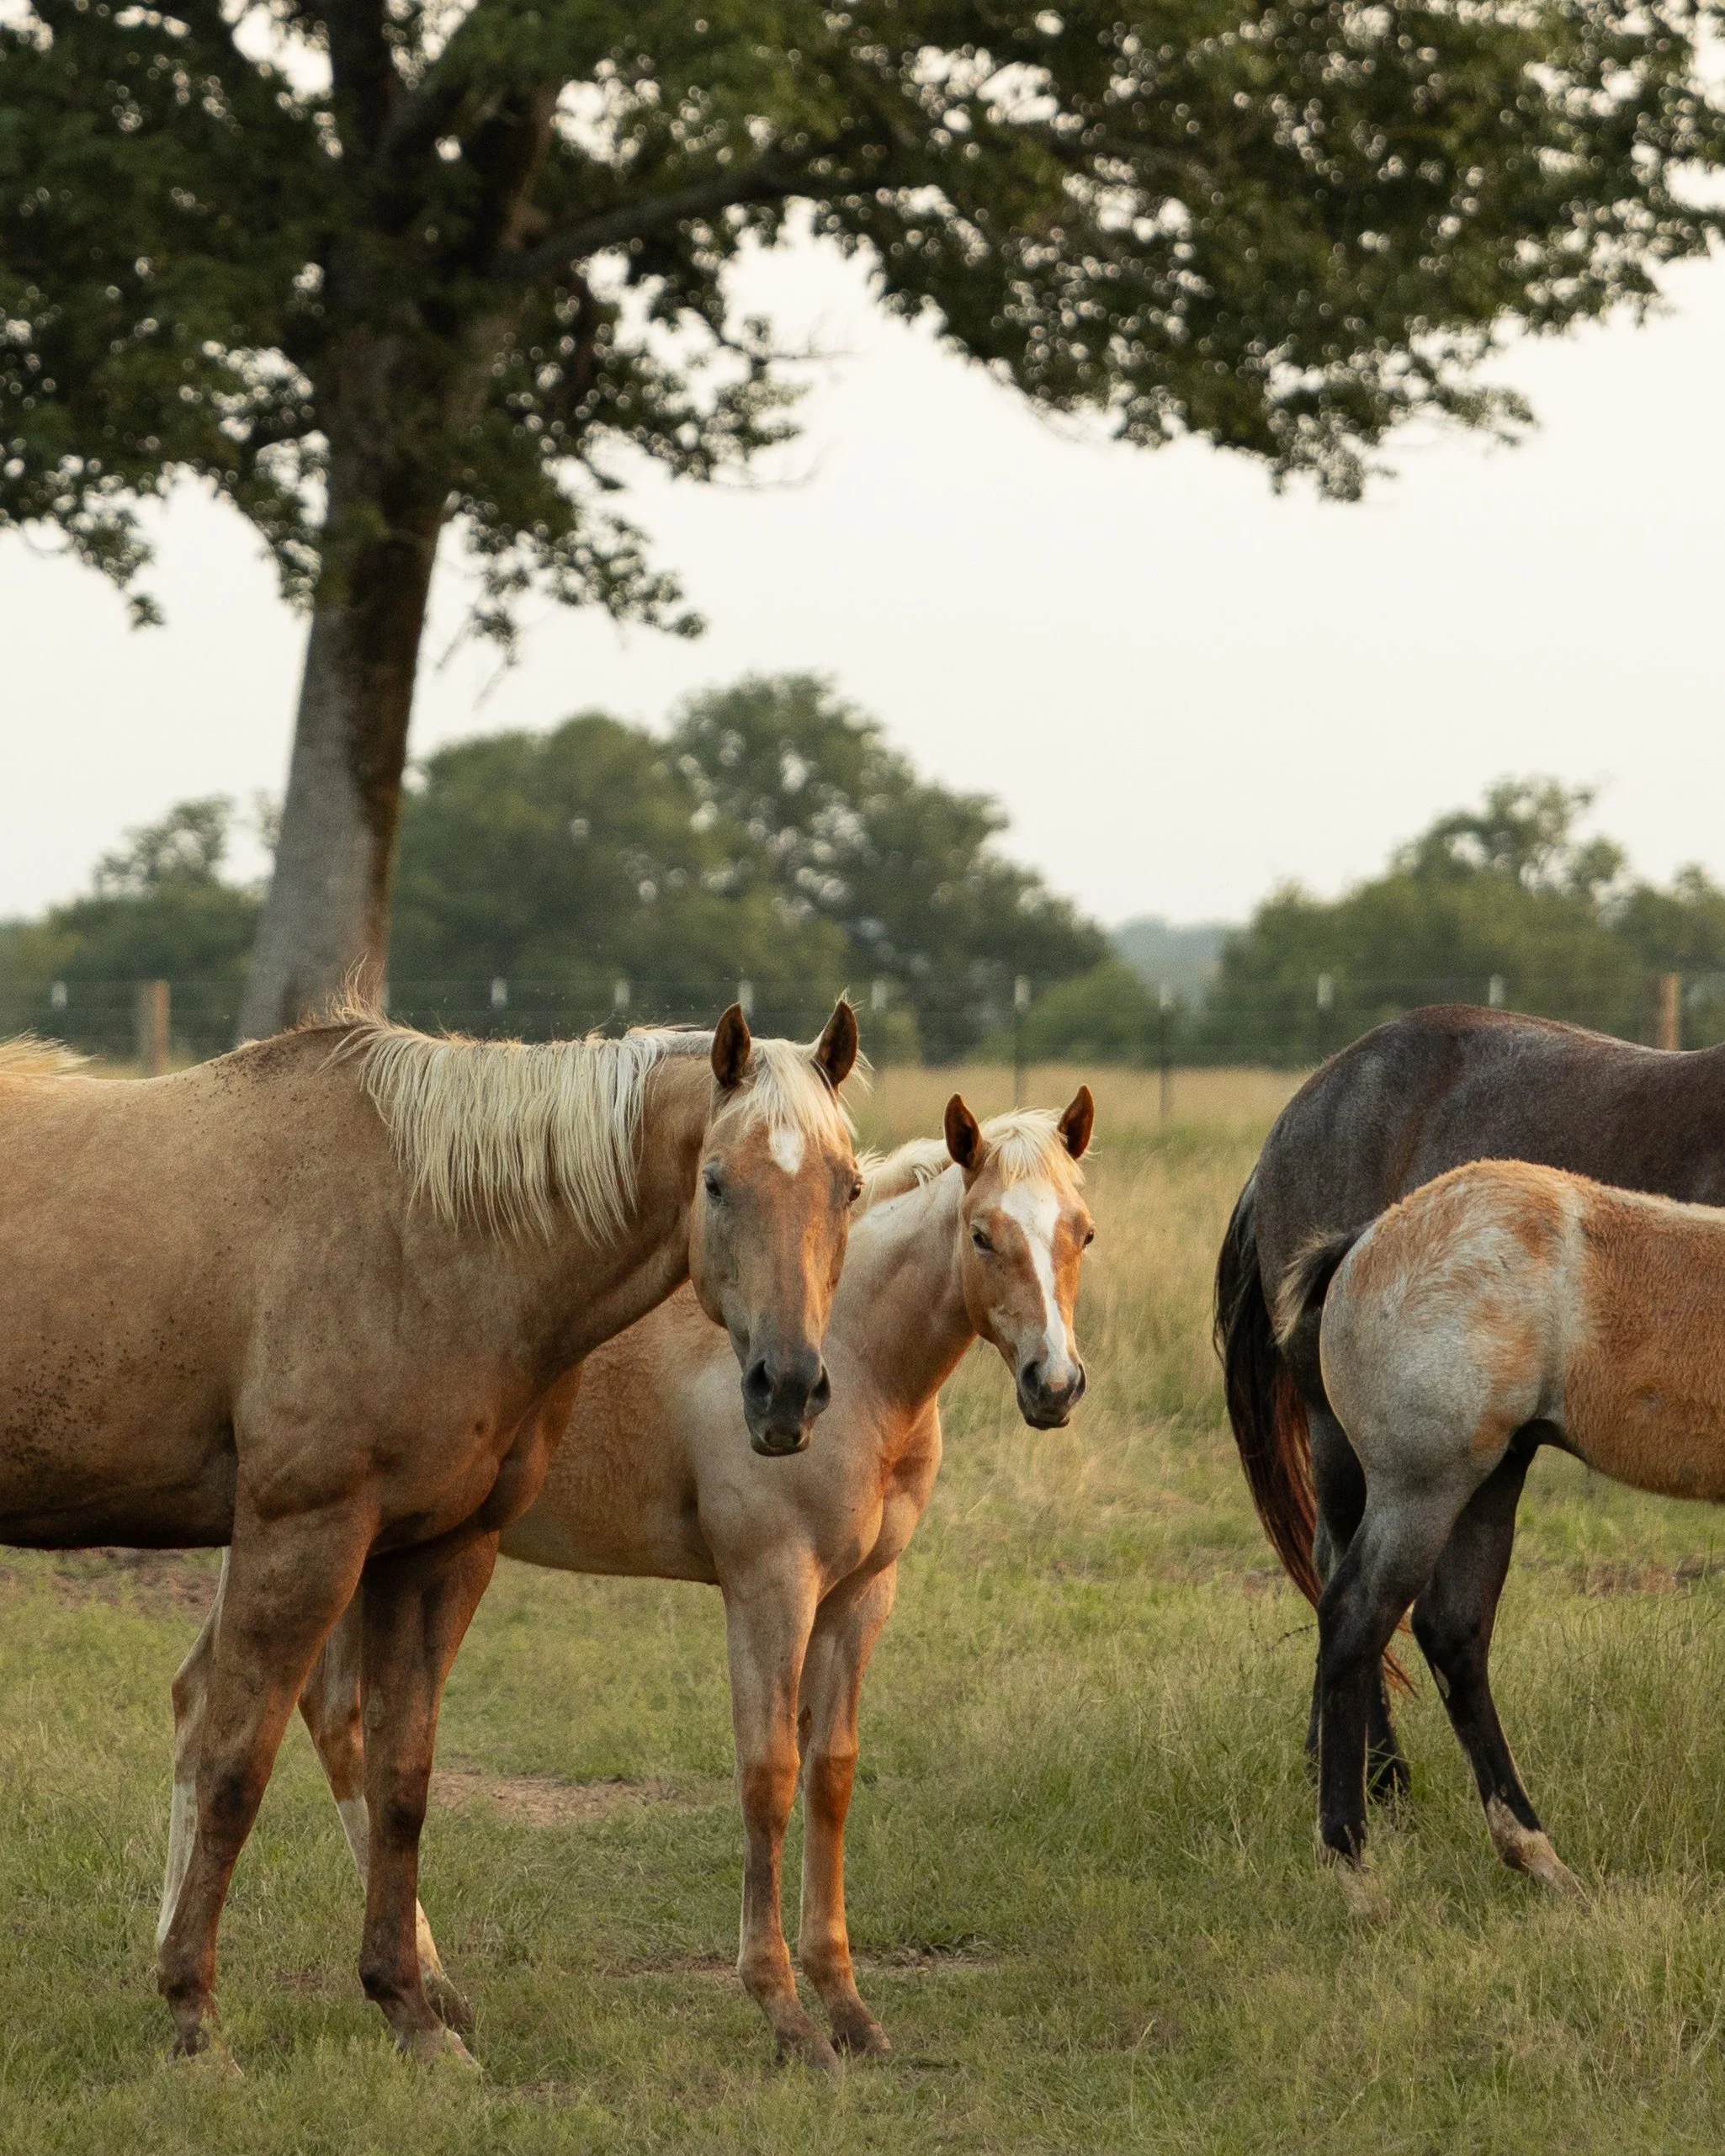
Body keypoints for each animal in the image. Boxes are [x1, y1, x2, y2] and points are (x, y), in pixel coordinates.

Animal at [0, 997, 861, 2067]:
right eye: (716, 1181)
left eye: (849, 1186)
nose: (787, 1389)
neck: (427, 1233)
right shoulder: (302, 1537)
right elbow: (234, 1768)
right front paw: (195, 2015)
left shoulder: (438, 1553)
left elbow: (401, 1783)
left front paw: (410, 2014)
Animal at [162, 1087, 1096, 2065]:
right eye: (983, 1235)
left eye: (1083, 1232)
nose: (1054, 1383)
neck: (854, 1360)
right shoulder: (769, 1588)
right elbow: (767, 1775)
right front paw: (785, 2013)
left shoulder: (860, 1597)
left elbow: (831, 1776)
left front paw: (849, 2009)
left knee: (240, 1704)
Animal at [1276, 1155, 1725, 1902]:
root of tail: (1367, 1237)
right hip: (1423, 1491)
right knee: (1355, 1621)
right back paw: (1352, 1869)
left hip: (1490, 1484)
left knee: (1453, 1634)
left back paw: (1535, 1855)